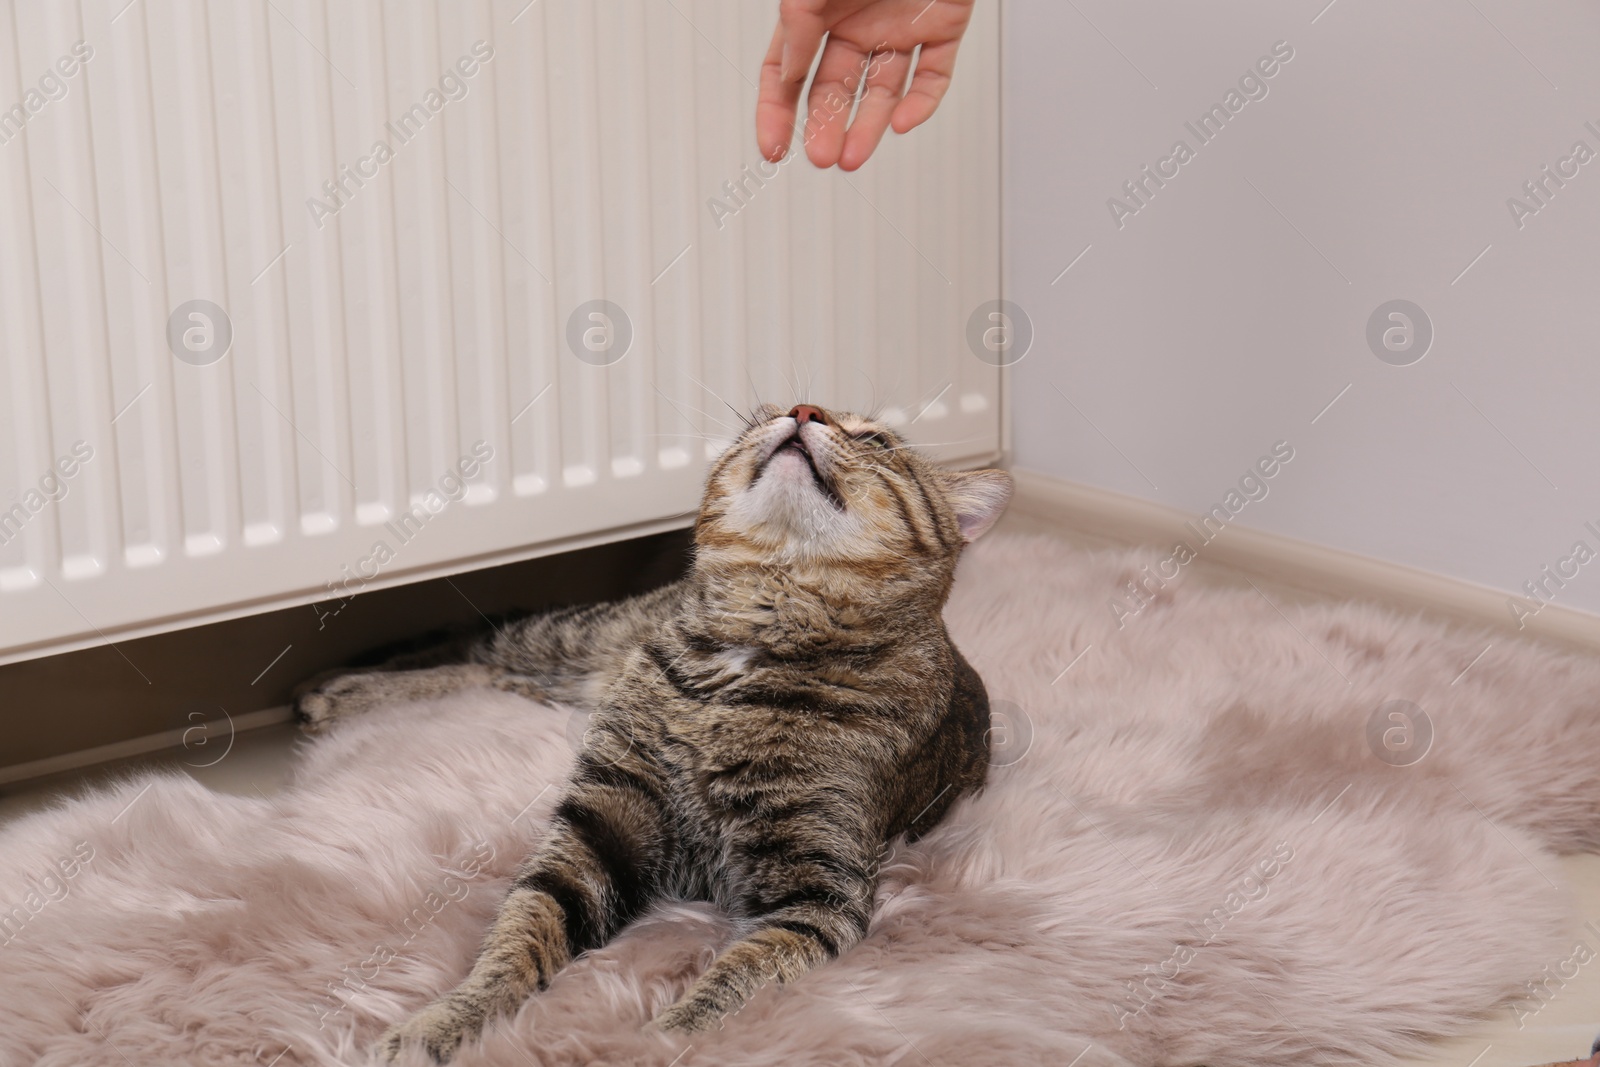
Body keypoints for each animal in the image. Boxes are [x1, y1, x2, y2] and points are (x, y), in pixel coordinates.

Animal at [291, 399, 1011, 1062]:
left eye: (877, 440)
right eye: (769, 412)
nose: (804, 410)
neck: (754, 640)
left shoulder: (820, 893)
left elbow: (738, 980)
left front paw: (663, 1039)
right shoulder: (600, 822)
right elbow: (519, 933)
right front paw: (445, 1021)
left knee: (493, 672)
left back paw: (333, 691)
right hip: (574, 638)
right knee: (482, 641)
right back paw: (336, 684)